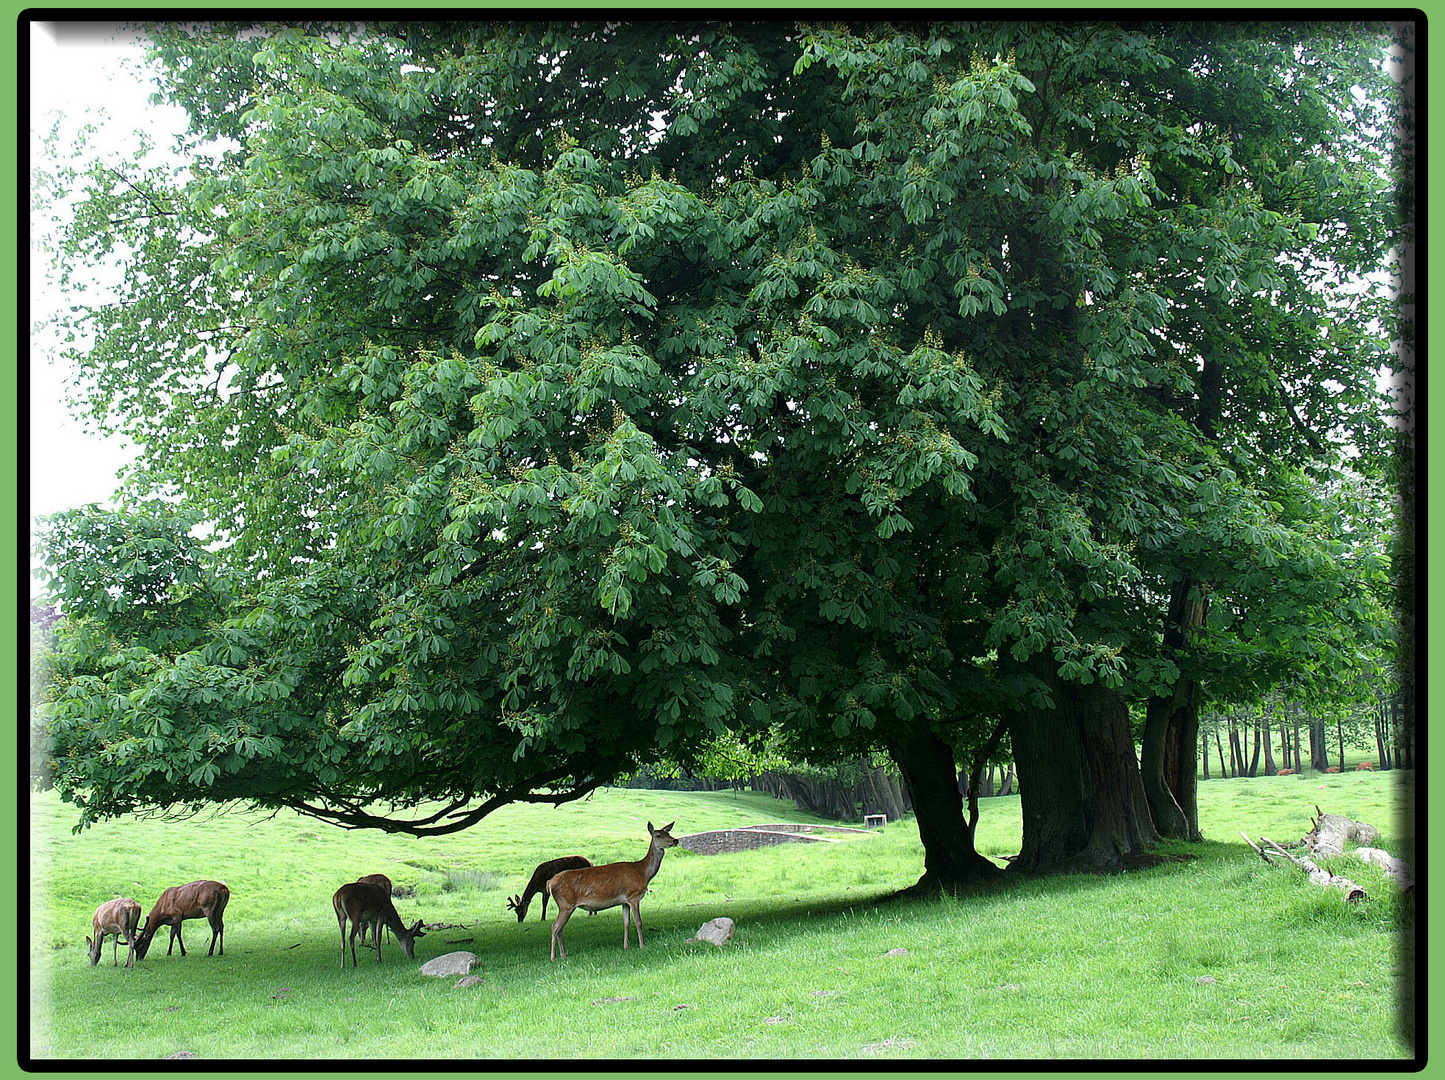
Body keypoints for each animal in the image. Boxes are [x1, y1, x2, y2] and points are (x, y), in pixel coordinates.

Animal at [543, 821, 679, 965]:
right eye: (658, 835)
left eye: (668, 833)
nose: (675, 840)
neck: (643, 872)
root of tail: (550, 882)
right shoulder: (634, 896)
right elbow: (638, 921)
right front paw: (642, 945)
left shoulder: (624, 901)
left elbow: (626, 923)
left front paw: (626, 947)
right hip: (565, 904)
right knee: (555, 926)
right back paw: (553, 957)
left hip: (567, 906)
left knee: (560, 928)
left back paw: (564, 955)